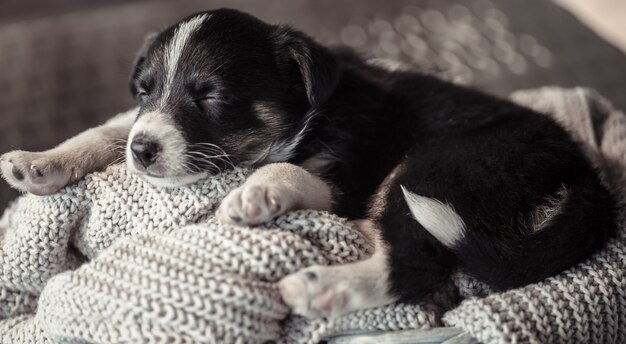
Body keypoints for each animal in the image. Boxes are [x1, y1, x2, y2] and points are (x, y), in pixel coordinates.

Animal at [0, 8, 616, 320]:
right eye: (144, 89)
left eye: (210, 96)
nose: (145, 151)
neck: (316, 112)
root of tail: (583, 174)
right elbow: (106, 130)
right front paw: (38, 163)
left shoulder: (350, 172)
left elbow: (293, 171)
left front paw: (252, 194)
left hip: (432, 168)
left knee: (416, 265)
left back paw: (321, 289)